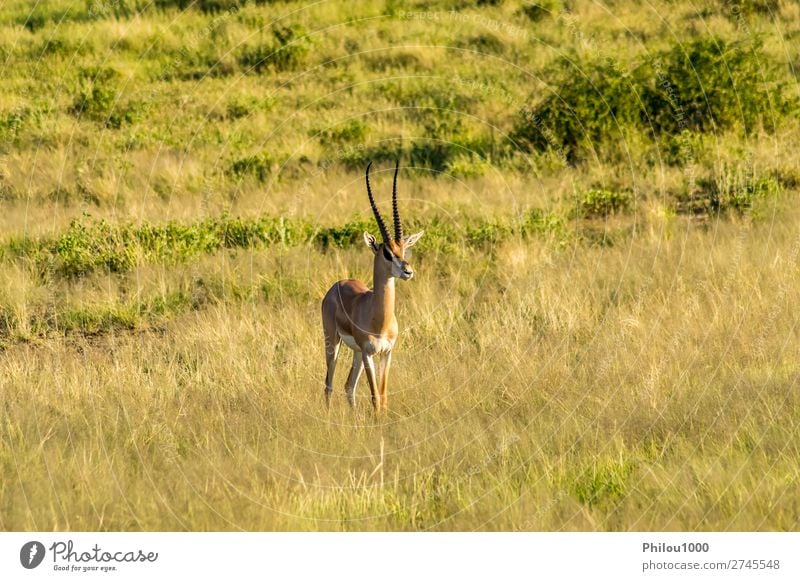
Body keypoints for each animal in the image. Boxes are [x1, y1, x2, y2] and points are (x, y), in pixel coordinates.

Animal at [322, 161, 424, 410]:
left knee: (348, 386)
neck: (380, 320)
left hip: (357, 353)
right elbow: (375, 396)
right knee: (328, 385)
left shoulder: (387, 353)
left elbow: (383, 396)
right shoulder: (369, 353)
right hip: (333, 343)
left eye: (403, 249)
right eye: (387, 252)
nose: (408, 271)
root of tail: (337, 284)